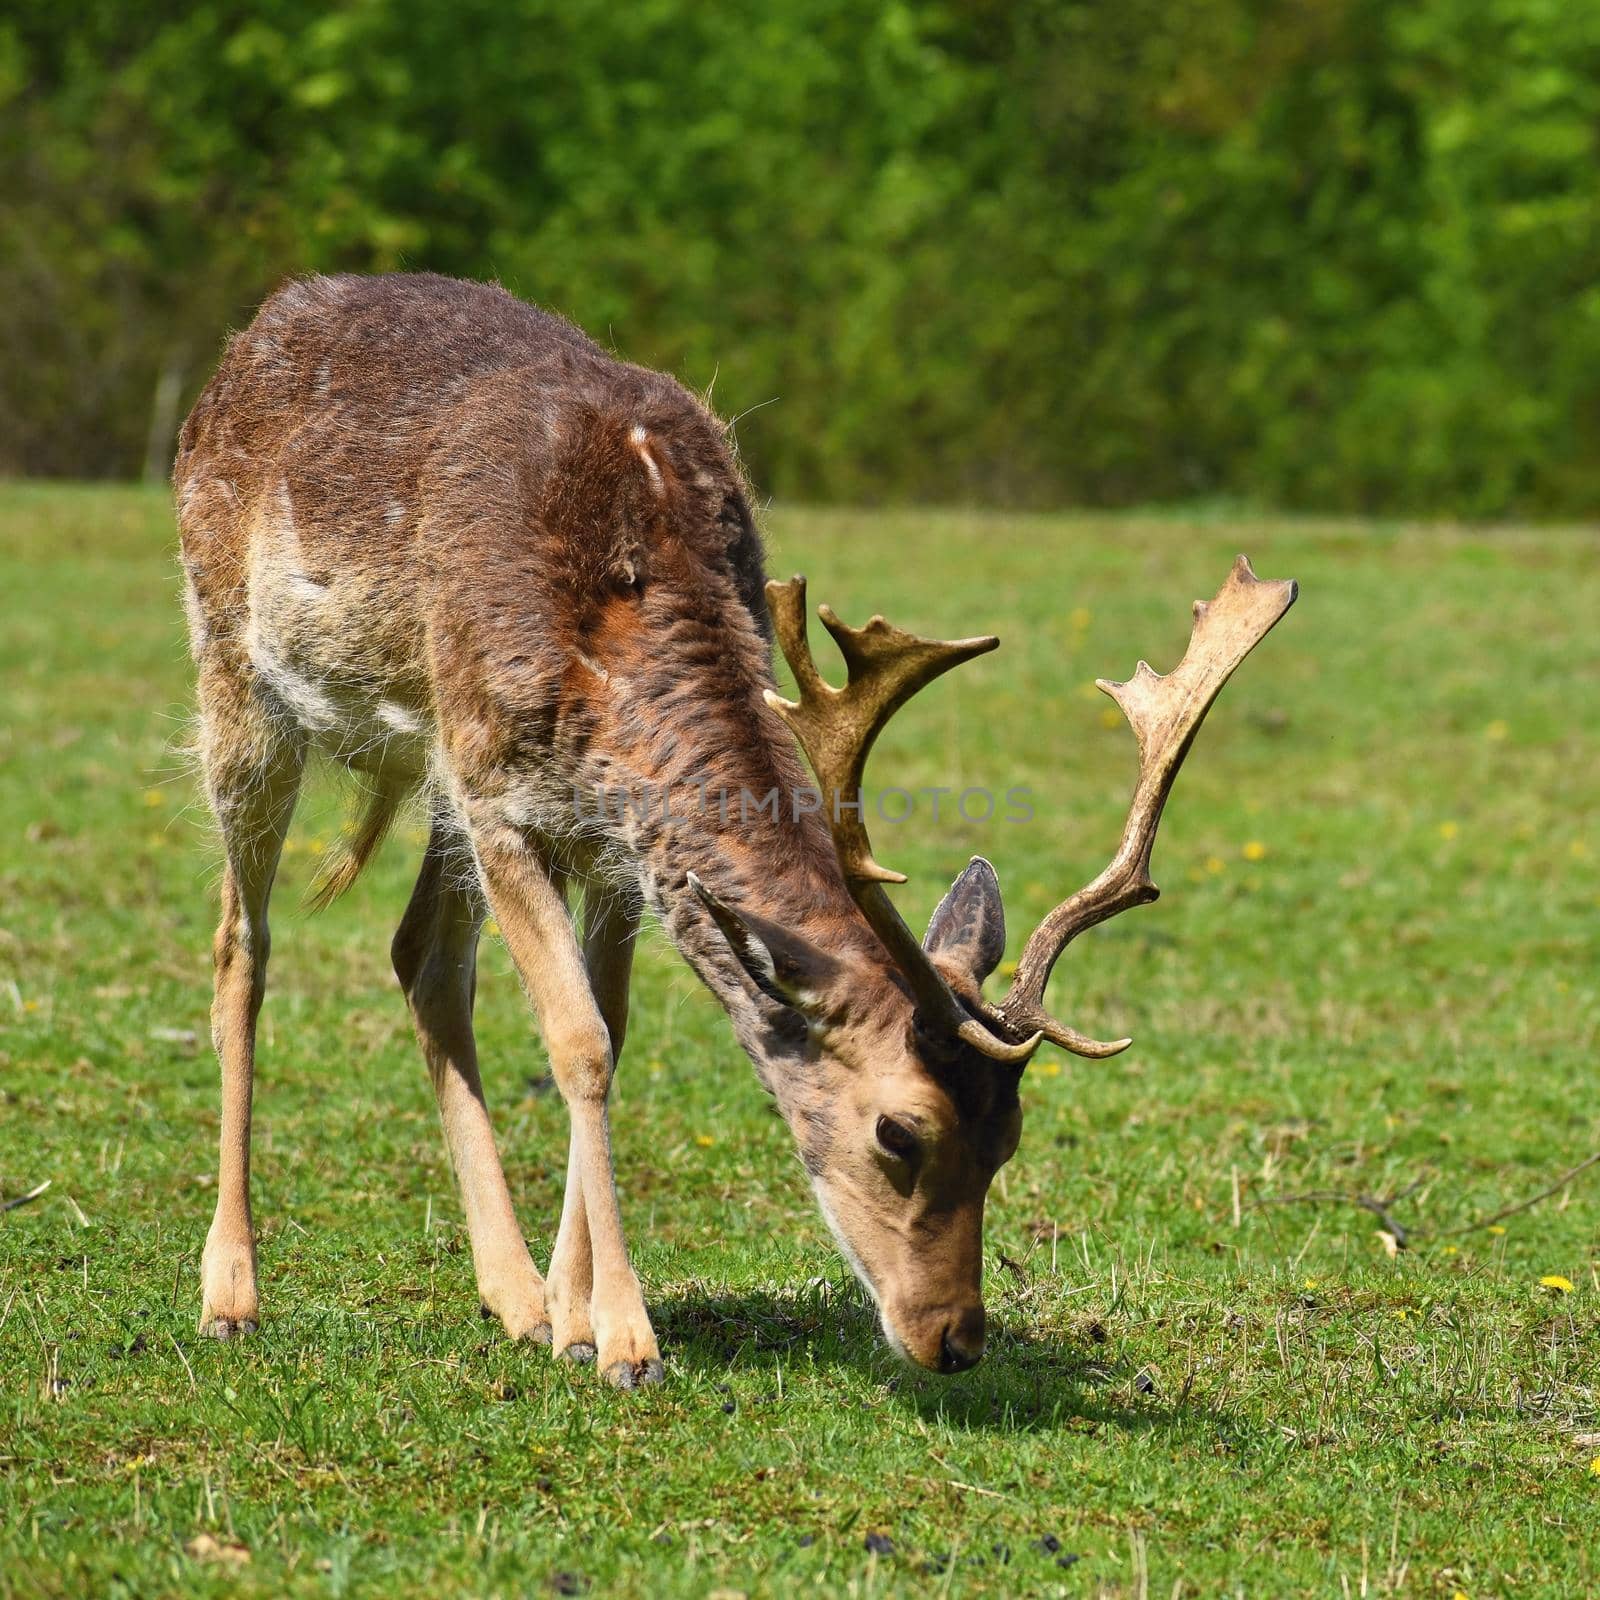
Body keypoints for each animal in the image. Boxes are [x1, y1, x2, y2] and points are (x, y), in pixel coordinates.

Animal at [172, 268, 1299, 1382]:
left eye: (1009, 1137)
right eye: (901, 1133)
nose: (956, 1339)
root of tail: (250, 334)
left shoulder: (614, 842)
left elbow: (611, 1025)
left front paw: (572, 1317)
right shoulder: (497, 792)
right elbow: (578, 1043)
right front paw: (627, 1341)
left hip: (431, 767)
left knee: (423, 956)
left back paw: (513, 1296)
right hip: (236, 672)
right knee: (241, 943)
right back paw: (231, 1291)